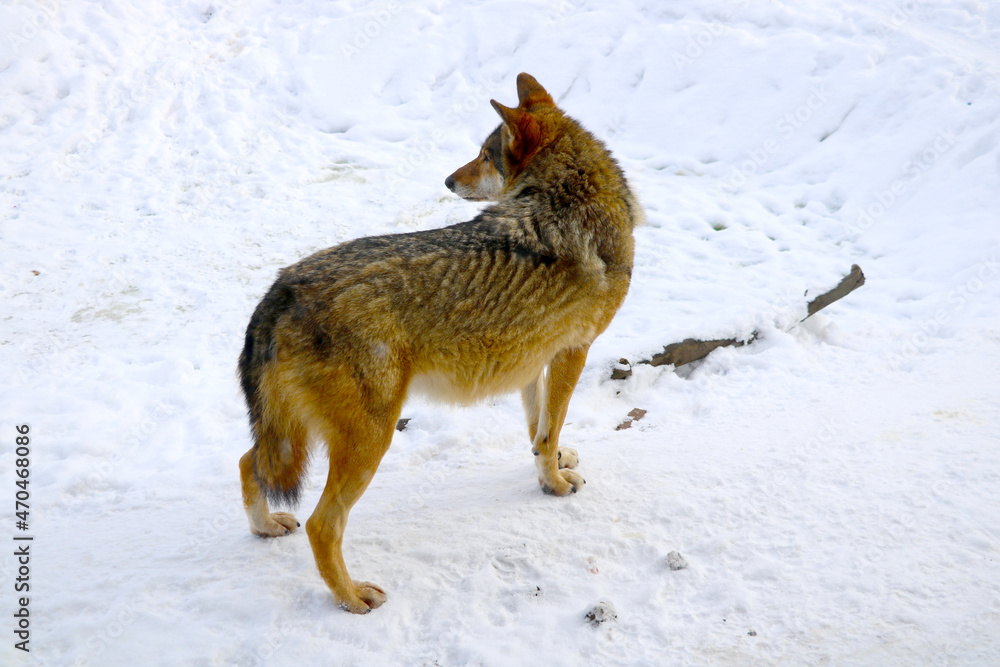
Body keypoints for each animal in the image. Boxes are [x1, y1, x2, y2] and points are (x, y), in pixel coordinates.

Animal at [237, 73, 641, 613]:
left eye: (485, 156)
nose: (449, 181)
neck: (571, 200)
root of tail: (281, 288)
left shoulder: (535, 359)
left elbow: (539, 430)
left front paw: (552, 466)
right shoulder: (571, 353)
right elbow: (549, 430)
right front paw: (556, 485)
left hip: (291, 434)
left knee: (248, 463)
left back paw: (265, 528)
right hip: (370, 441)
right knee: (323, 525)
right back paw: (354, 598)